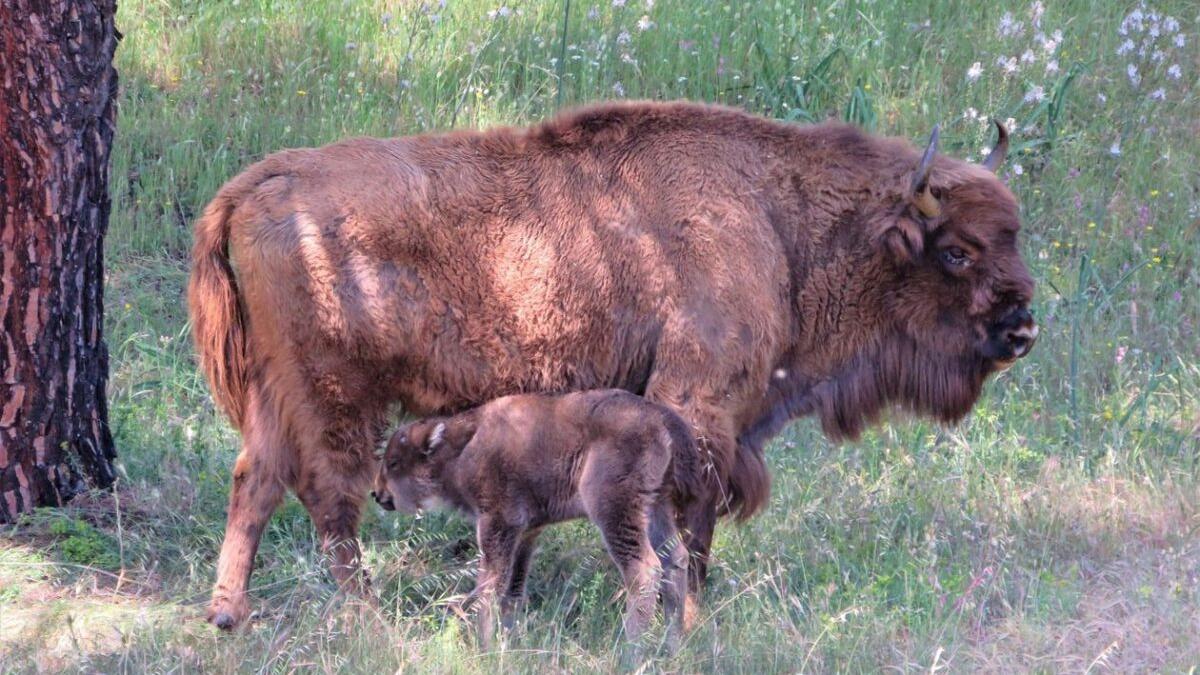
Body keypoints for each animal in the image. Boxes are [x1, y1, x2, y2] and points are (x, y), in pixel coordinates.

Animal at [372, 389, 696, 648]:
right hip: (656, 506)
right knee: (676, 558)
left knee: (645, 569)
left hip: (615, 510)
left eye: (394, 462)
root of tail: (660, 417)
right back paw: (672, 645)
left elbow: (490, 584)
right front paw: (508, 640)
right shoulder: (527, 532)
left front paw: (484, 644)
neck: (463, 446)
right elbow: (513, 589)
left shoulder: (497, 524)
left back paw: (630, 650)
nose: (377, 493)